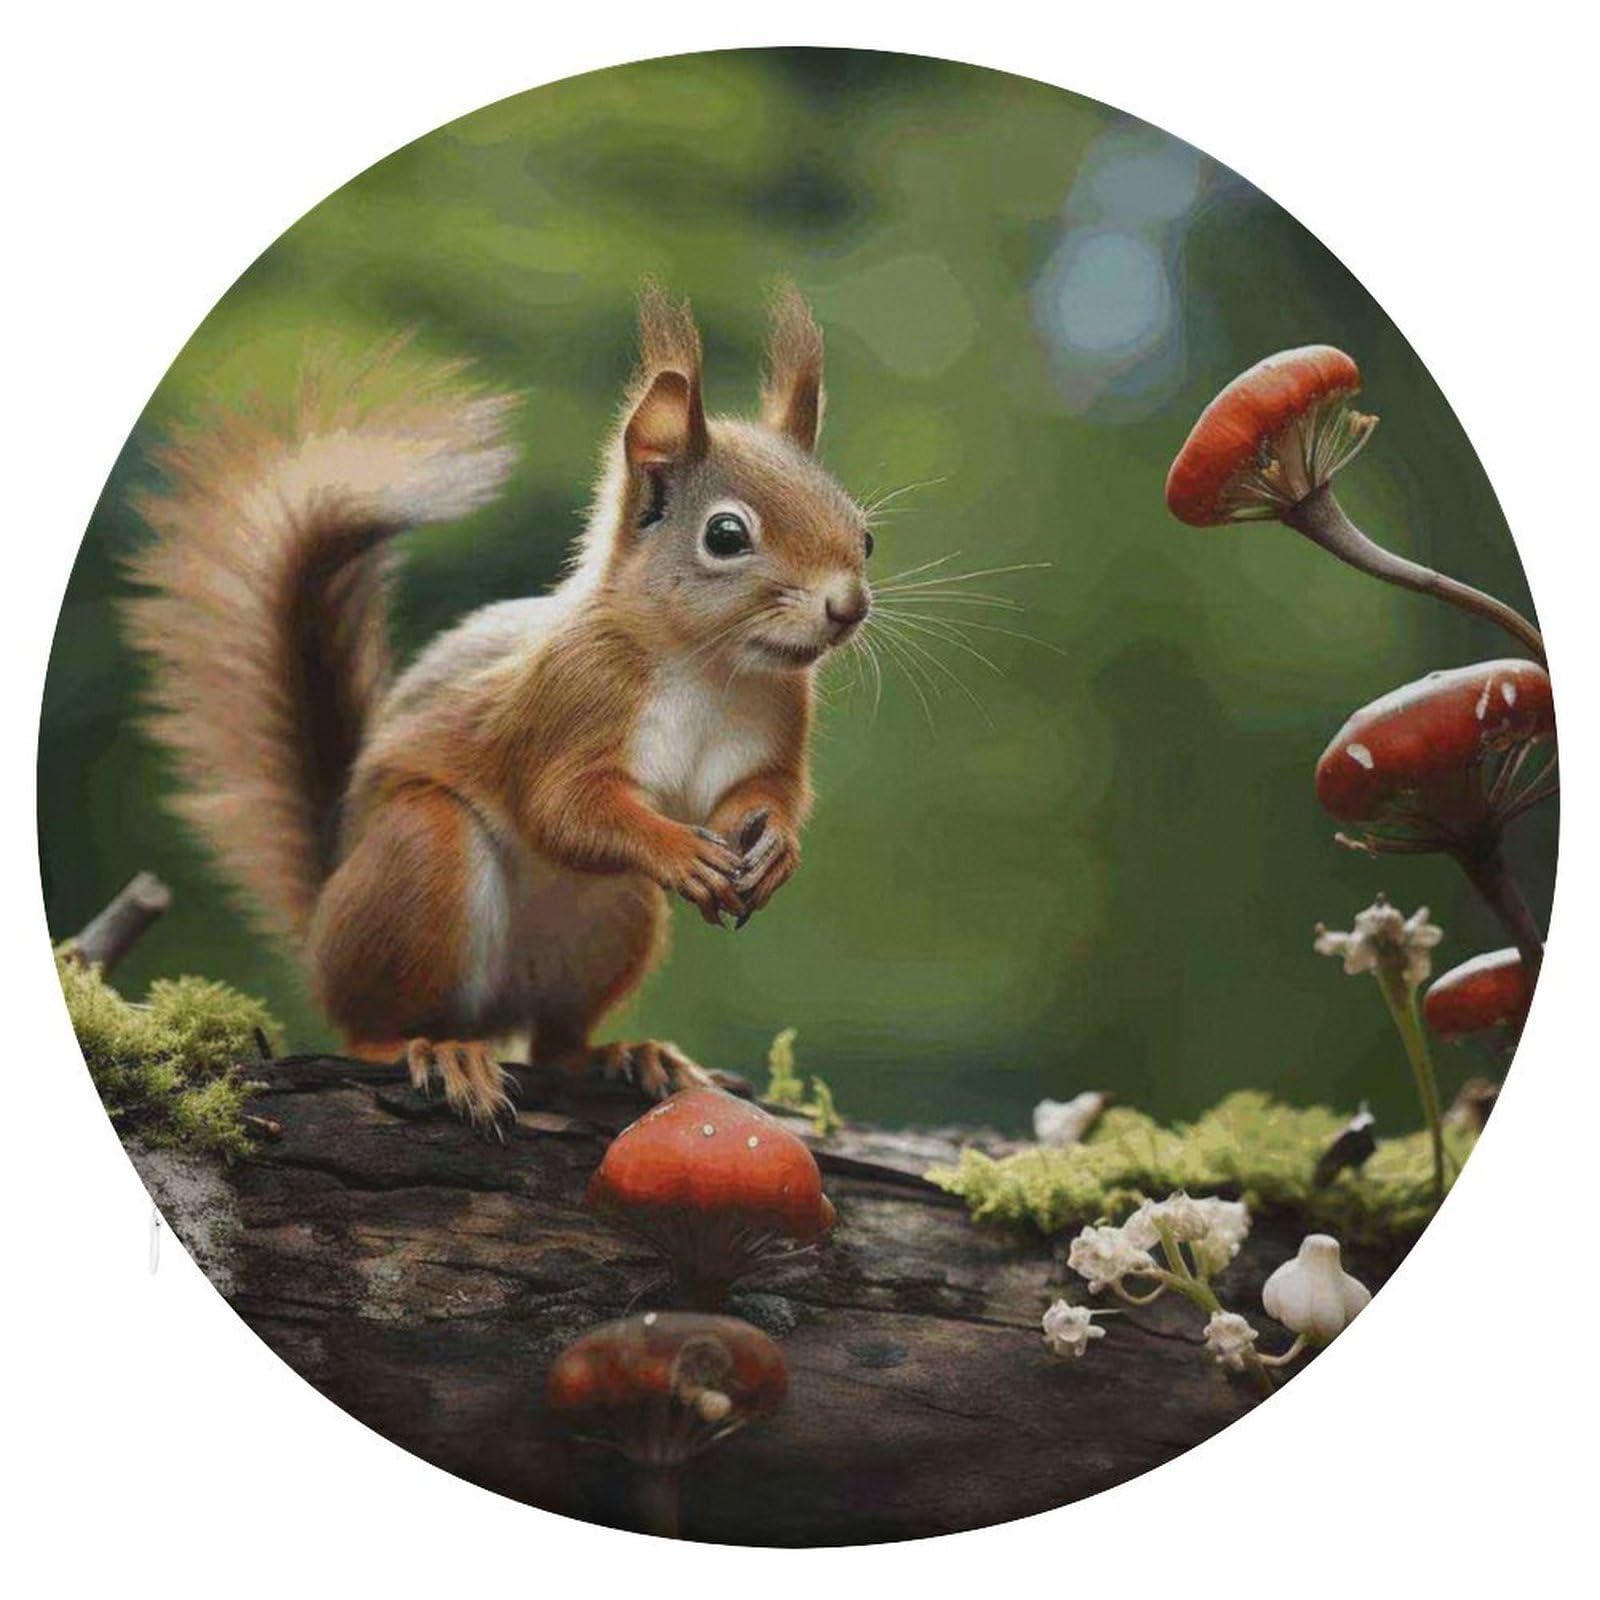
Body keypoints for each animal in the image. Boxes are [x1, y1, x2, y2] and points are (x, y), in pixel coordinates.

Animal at [125, 283, 873, 1125]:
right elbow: (563, 810)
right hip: (418, 863)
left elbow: (766, 791)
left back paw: (626, 1053)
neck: (707, 665)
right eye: (725, 535)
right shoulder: (566, 701)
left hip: (614, 920)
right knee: (373, 1021)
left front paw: (774, 847)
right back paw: (432, 1048)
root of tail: (324, 919)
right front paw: (680, 850)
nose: (847, 607)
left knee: (554, 1042)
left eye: (864, 535)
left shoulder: (777, 720)